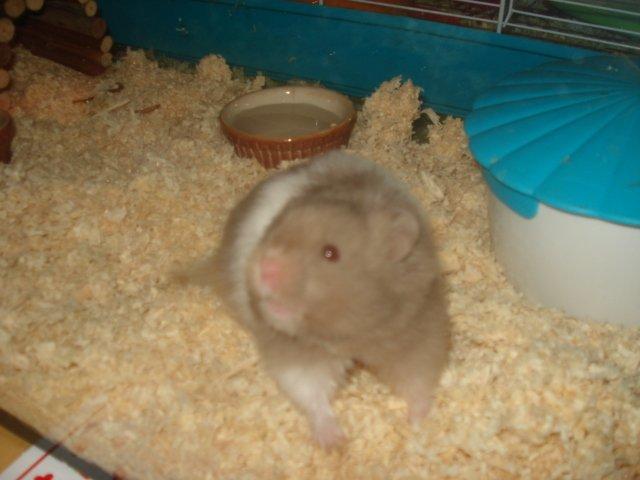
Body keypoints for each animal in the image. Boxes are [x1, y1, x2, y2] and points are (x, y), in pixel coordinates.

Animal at [190, 151, 451, 448]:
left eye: (330, 253)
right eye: (273, 228)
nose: (263, 267)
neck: (351, 334)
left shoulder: (416, 329)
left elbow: (418, 381)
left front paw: (418, 427)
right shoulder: (297, 353)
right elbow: (311, 392)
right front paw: (336, 442)